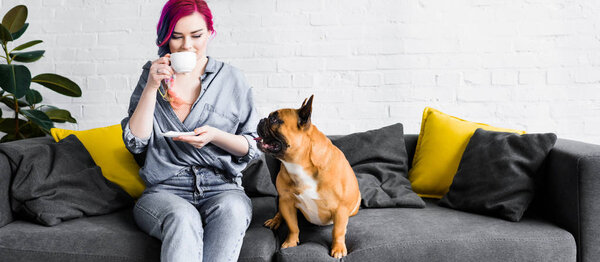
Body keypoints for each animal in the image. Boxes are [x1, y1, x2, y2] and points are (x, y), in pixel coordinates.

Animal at [254, 94, 358, 258]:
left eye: (275, 119)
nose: (262, 119)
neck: (299, 164)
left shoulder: (340, 209)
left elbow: (338, 231)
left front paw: (338, 248)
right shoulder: (286, 201)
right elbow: (292, 225)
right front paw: (291, 242)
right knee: (280, 213)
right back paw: (275, 220)